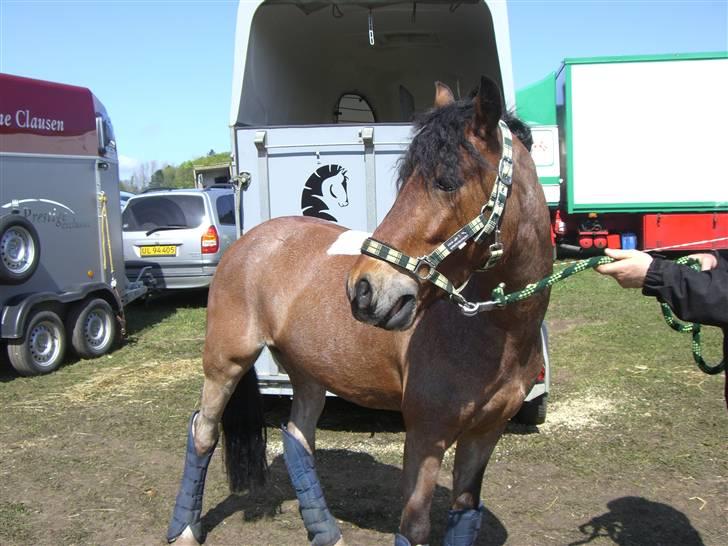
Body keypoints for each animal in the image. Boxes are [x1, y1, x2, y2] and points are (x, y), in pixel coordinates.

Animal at [166, 76, 552, 546]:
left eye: (446, 182)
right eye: (404, 180)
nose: (363, 290)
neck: (496, 333)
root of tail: (249, 240)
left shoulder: (483, 436)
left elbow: (464, 513)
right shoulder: (425, 435)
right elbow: (414, 526)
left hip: (309, 373)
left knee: (297, 439)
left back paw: (325, 531)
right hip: (226, 363)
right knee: (203, 433)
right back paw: (185, 530)